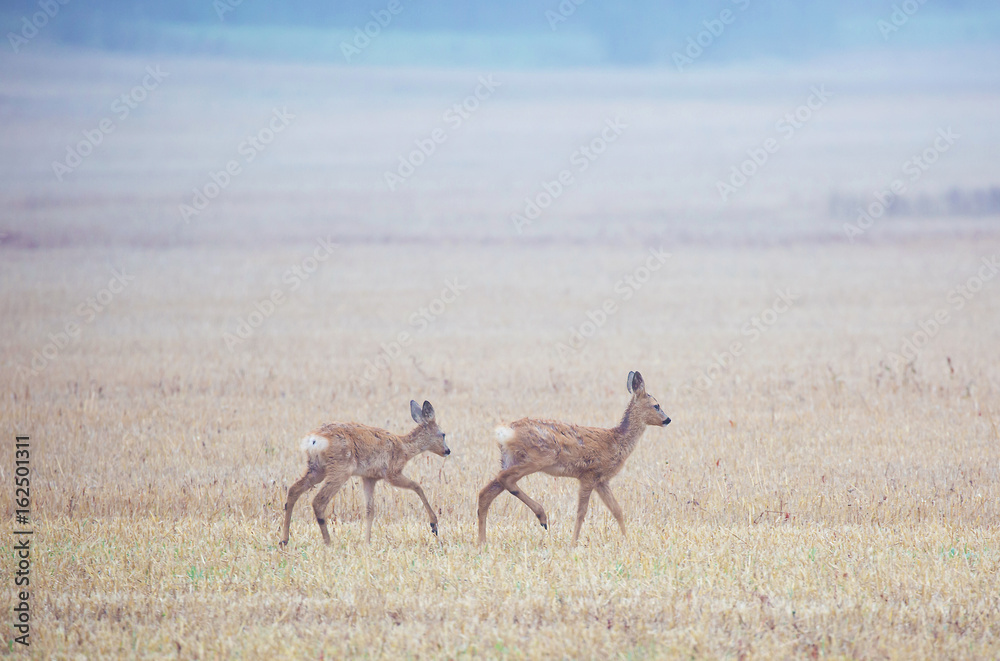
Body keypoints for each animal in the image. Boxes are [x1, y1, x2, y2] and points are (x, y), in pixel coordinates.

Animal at [279, 399, 450, 547]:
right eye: (443, 434)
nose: (447, 450)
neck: (404, 448)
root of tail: (313, 440)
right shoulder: (391, 473)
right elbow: (417, 486)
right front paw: (434, 525)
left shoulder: (369, 477)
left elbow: (369, 510)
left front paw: (367, 542)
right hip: (340, 469)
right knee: (318, 501)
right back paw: (328, 542)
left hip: (316, 468)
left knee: (293, 490)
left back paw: (284, 540)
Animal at [477, 371, 670, 546]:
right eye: (656, 405)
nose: (667, 419)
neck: (616, 440)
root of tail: (505, 432)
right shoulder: (589, 474)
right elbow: (581, 512)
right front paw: (574, 542)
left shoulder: (601, 480)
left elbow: (617, 510)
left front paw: (626, 540)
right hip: (539, 457)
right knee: (505, 479)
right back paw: (542, 516)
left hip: (509, 459)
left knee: (486, 492)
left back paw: (482, 542)